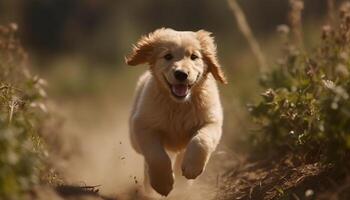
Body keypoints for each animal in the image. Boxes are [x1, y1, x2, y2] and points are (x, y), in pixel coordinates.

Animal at [126, 27, 227, 196]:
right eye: (168, 56)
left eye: (194, 57)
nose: (181, 74)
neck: (179, 105)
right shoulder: (143, 124)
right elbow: (156, 155)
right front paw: (162, 184)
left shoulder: (211, 121)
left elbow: (201, 141)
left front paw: (191, 168)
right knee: (148, 162)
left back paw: (183, 182)